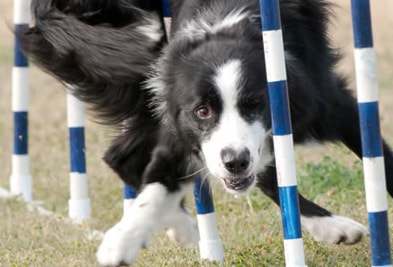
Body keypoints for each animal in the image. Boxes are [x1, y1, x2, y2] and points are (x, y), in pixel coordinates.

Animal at [18, 0, 392, 266]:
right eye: (202, 111)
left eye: (255, 105)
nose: (234, 162)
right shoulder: (182, 125)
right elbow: (158, 183)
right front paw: (121, 241)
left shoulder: (325, 102)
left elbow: (380, 160)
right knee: (122, 156)